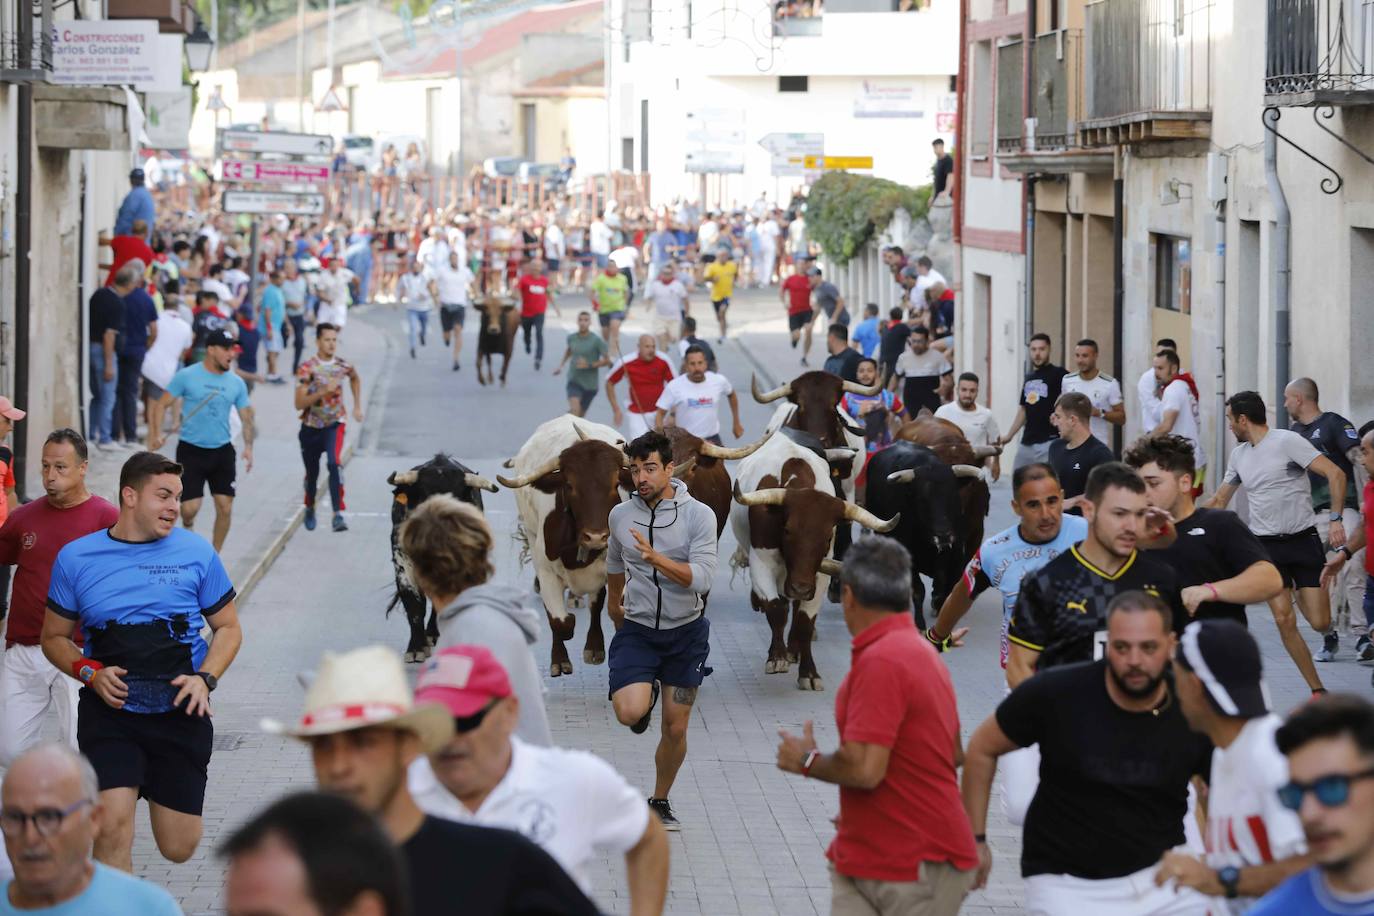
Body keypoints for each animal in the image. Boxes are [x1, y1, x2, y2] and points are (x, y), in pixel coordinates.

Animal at [387, 455, 500, 661]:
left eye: (455, 499)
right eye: (425, 495)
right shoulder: (403, 563)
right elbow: (414, 605)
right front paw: (416, 648)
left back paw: (433, 633)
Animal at [497, 414, 629, 672]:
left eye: (615, 484)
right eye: (570, 485)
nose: (596, 537)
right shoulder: (546, 571)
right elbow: (561, 621)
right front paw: (559, 659)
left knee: (596, 603)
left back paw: (594, 647)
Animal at [730, 431, 901, 686]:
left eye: (828, 536)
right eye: (787, 530)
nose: (800, 587)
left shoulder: (819, 574)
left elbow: (804, 622)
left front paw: (808, 672)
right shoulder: (763, 563)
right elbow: (776, 609)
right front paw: (777, 657)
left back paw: (794, 650)